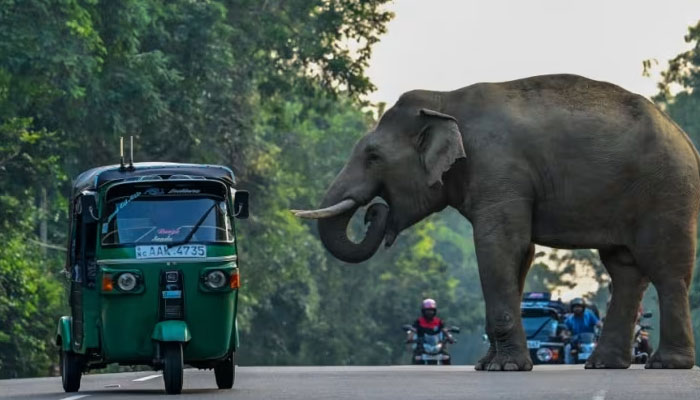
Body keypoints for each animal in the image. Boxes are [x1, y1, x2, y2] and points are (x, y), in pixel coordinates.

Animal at [292, 73, 700, 370]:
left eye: (373, 156)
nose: (372, 211)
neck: (443, 102)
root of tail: (684, 138)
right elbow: (520, 254)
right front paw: (487, 366)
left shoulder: (498, 168)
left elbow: (499, 245)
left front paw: (505, 368)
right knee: (625, 269)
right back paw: (603, 365)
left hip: (666, 191)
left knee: (665, 269)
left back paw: (666, 365)